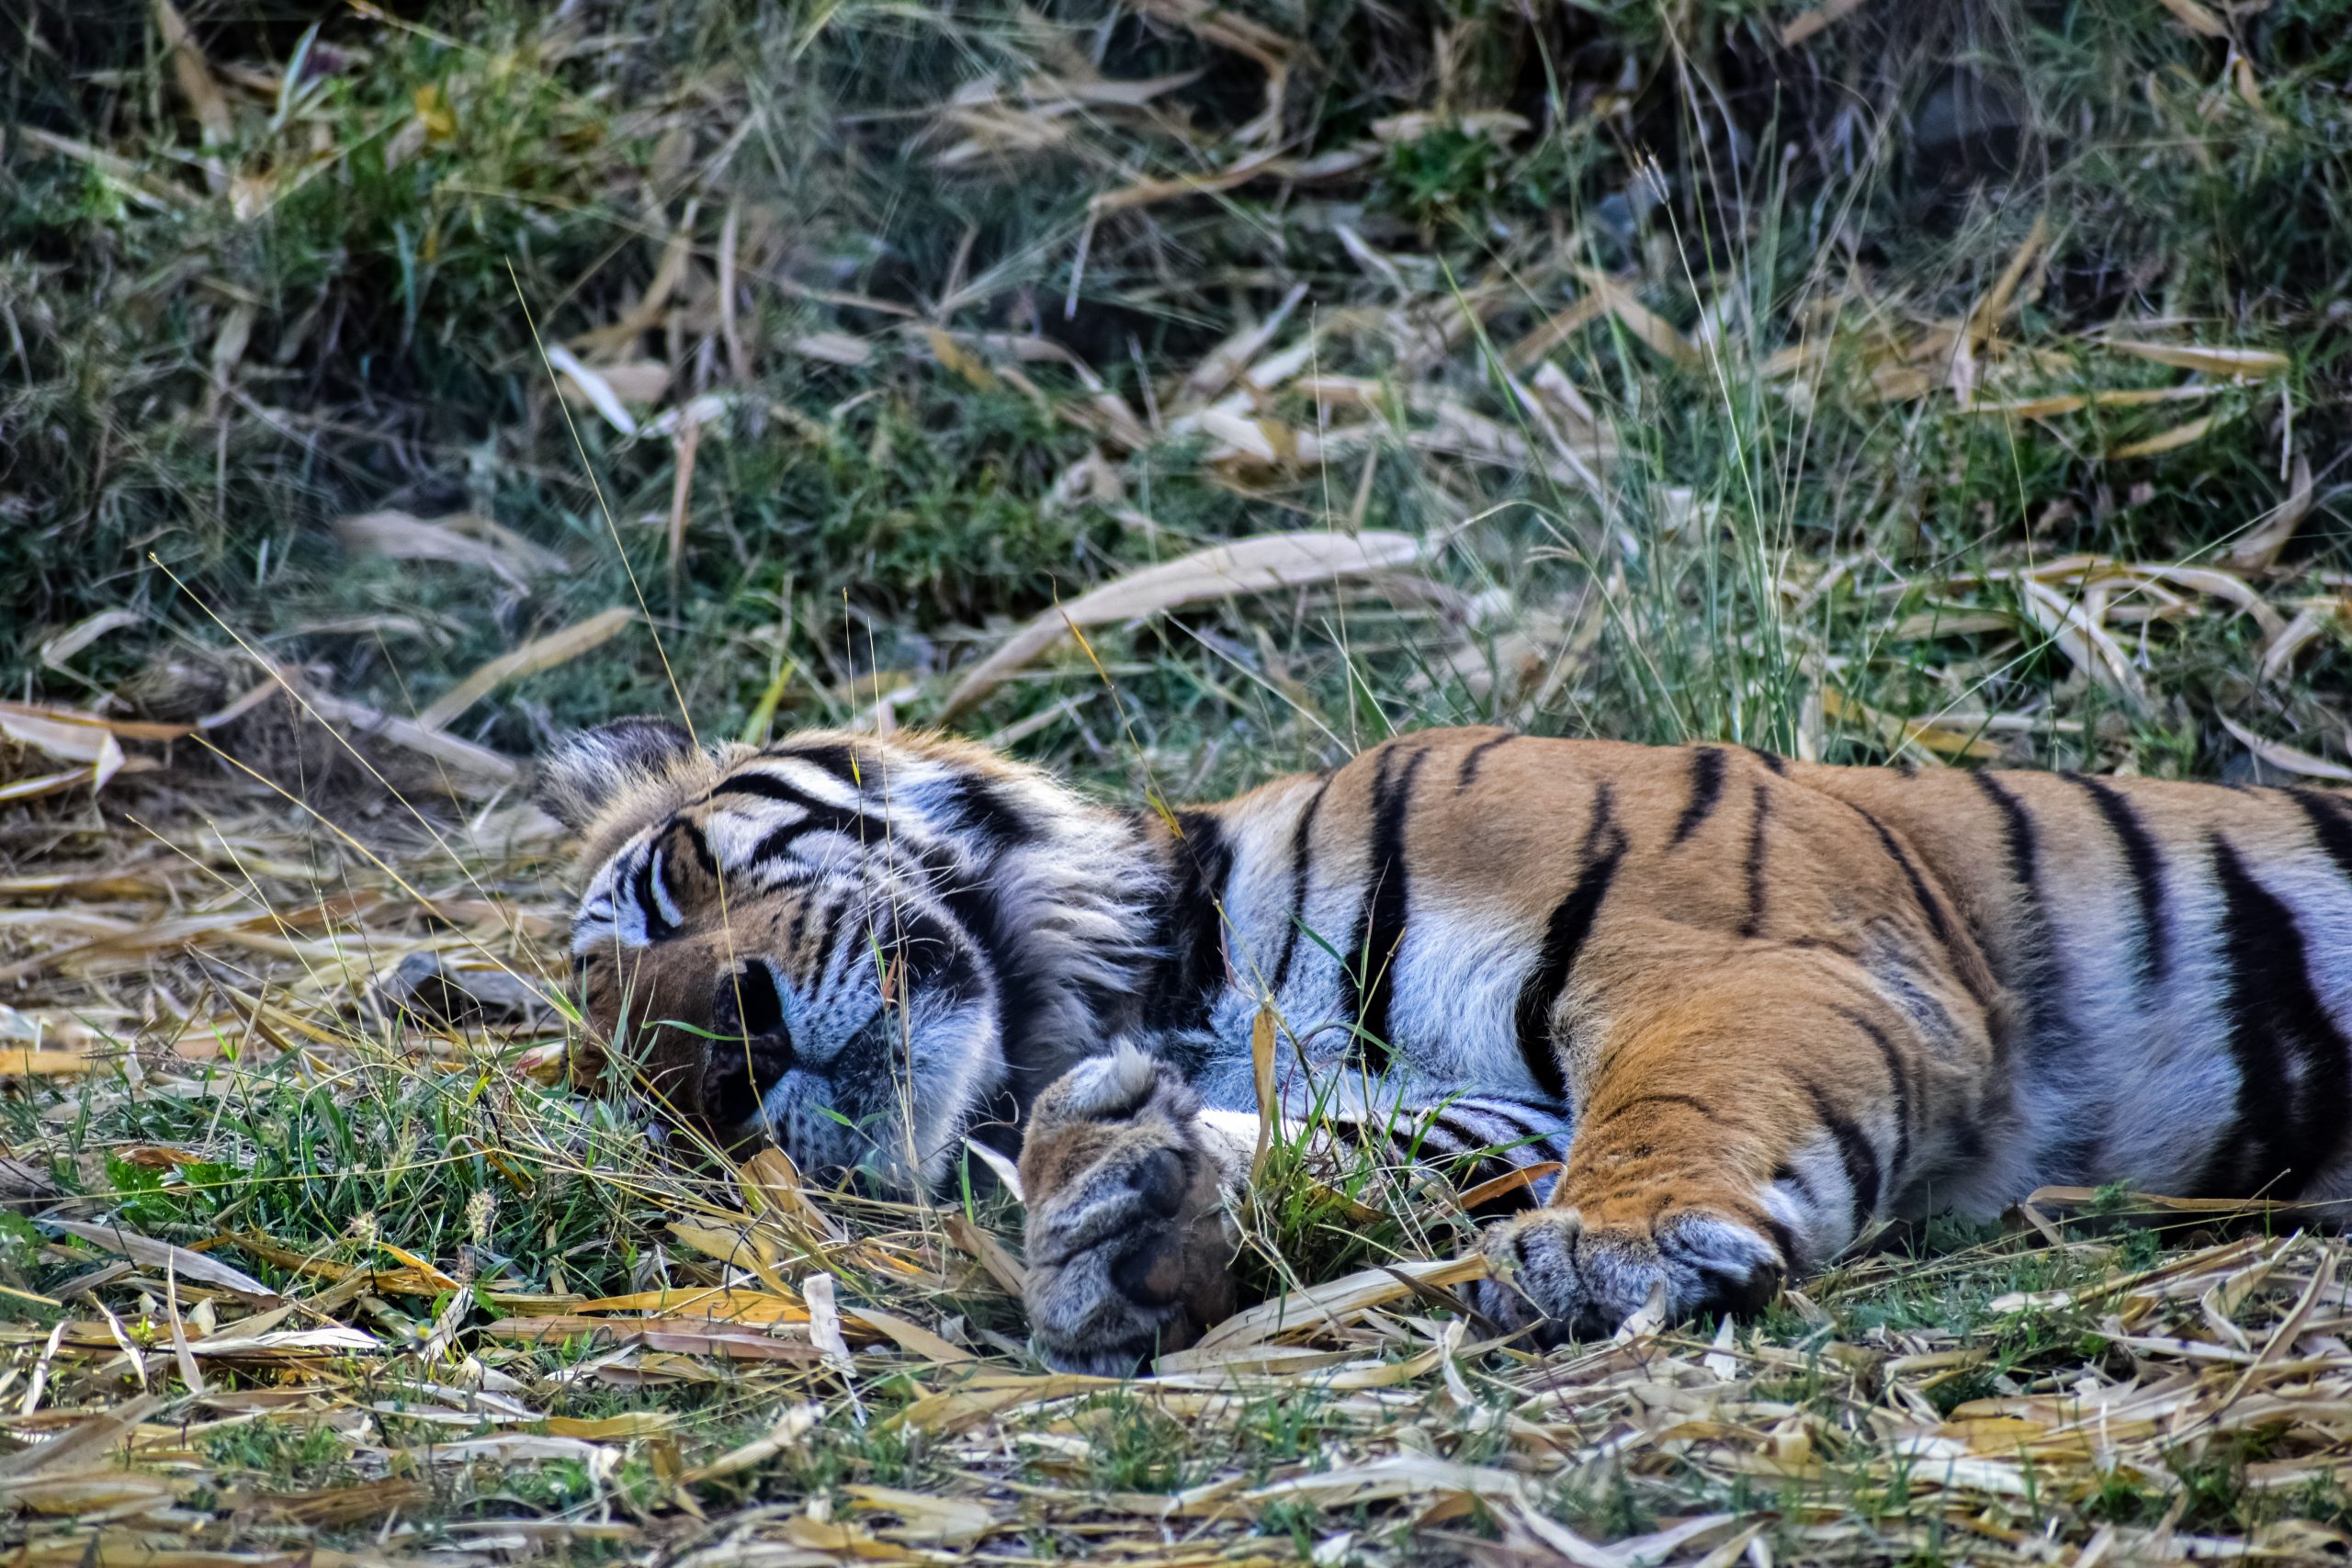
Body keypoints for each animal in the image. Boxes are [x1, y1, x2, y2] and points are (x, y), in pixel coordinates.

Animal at [534, 724, 2352, 1372]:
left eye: (681, 875)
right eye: (651, 1098)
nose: (722, 1053)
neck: (1154, 988)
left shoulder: (1753, 955)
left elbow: (1675, 1100)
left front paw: (1615, 1256)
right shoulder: (1483, 1111)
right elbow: (1354, 1166)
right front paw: (1118, 1221)